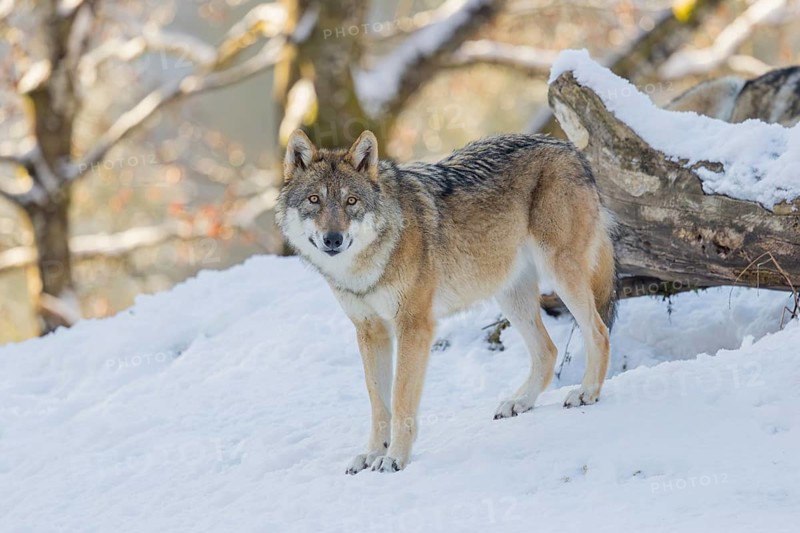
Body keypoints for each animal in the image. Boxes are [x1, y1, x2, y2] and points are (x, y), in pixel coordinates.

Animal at [276, 130, 617, 473]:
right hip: (510, 295)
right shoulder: (370, 332)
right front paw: (372, 453)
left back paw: (587, 392)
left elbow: (400, 397)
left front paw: (395, 458)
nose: (333, 239)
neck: (367, 265)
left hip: (560, 274)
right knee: (548, 351)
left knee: (599, 332)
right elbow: (377, 401)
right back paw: (519, 402)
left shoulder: (414, 326)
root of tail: (569, 148)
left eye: (351, 201)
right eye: (314, 200)